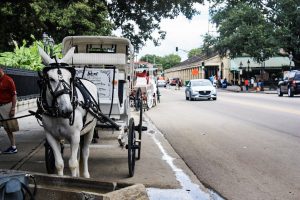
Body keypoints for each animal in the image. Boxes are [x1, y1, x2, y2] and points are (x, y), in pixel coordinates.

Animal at [37, 47, 97, 178]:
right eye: (51, 79)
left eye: (70, 78)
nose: (68, 110)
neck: (58, 115)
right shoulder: (51, 136)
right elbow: (59, 163)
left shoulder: (74, 136)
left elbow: (73, 163)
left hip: (90, 129)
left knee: (85, 152)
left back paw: (85, 174)